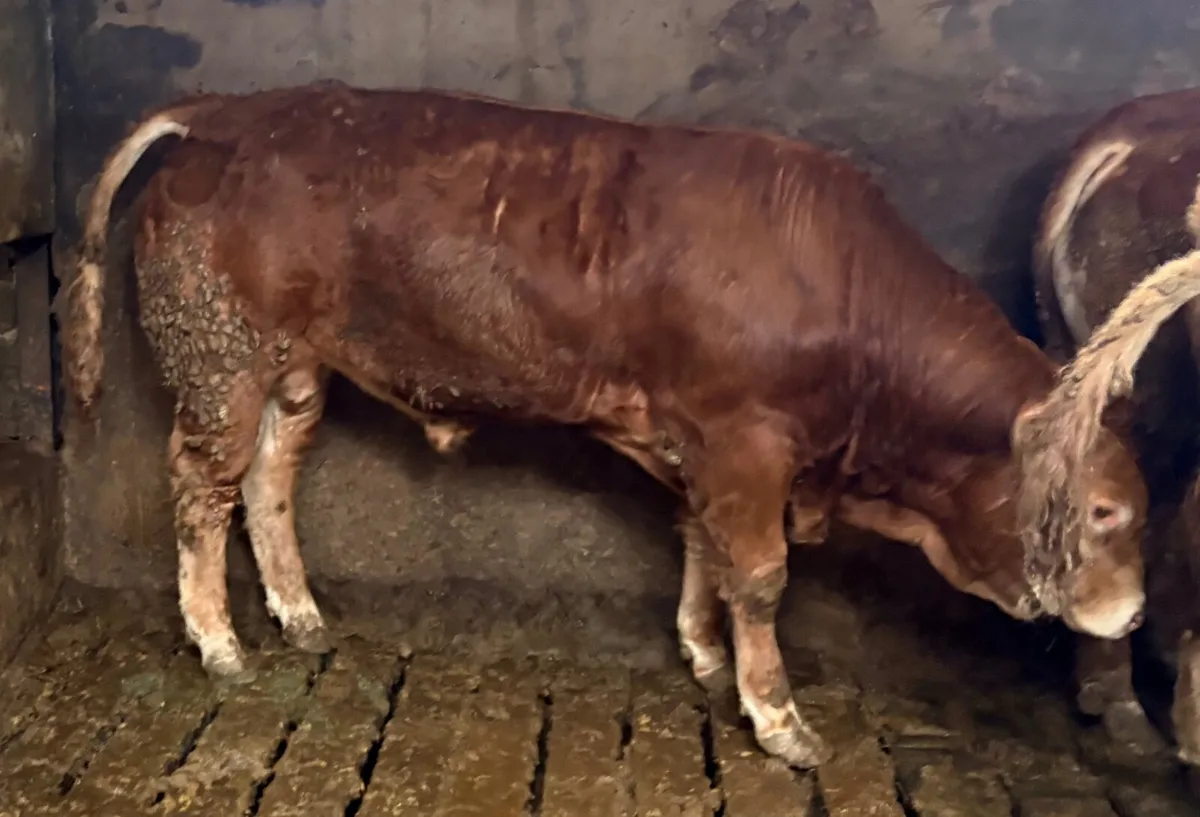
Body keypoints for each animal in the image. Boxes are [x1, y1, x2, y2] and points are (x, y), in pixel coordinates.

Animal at [65, 81, 1149, 768]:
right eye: (1103, 510)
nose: (1136, 616)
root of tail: (224, 112)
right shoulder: (747, 439)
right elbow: (760, 576)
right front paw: (779, 718)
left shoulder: (702, 440)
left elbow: (703, 544)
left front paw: (704, 655)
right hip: (220, 354)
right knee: (201, 483)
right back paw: (218, 639)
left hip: (293, 368)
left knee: (268, 476)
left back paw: (298, 613)